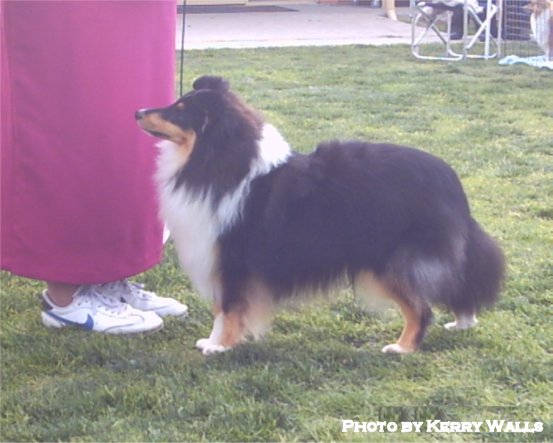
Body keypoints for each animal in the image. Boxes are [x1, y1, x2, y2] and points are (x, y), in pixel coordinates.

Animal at [136, 76, 504, 356]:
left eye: (180, 111)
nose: (138, 111)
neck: (217, 161)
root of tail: (451, 180)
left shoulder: (230, 260)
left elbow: (227, 309)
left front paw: (219, 346)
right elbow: (221, 308)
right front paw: (214, 341)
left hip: (389, 262)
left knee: (422, 307)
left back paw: (402, 348)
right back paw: (462, 321)